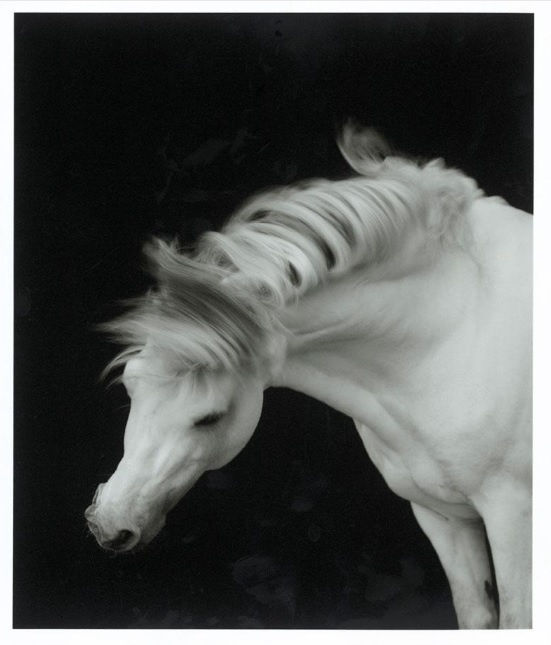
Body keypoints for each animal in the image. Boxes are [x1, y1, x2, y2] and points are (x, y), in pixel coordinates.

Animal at [85, 124, 532, 629]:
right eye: (130, 384)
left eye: (209, 418)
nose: (109, 522)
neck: (451, 333)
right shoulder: (442, 516)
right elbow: (476, 615)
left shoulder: (513, 517)